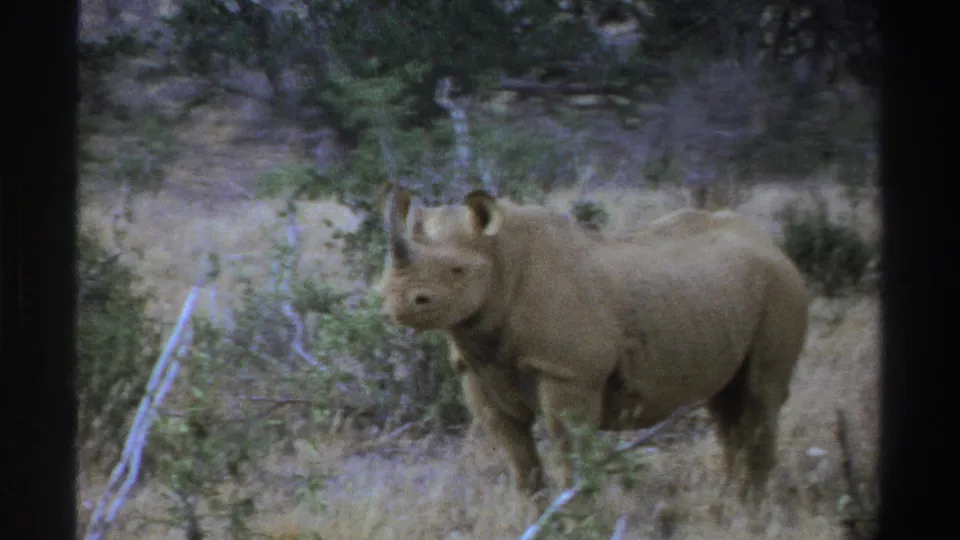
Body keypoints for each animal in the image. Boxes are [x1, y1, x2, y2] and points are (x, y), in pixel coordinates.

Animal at [376, 186, 810, 506]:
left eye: (458, 270)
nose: (400, 301)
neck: (500, 258)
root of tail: (770, 243)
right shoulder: (479, 370)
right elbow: (520, 461)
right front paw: (534, 515)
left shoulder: (569, 372)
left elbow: (569, 451)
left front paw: (576, 516)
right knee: (726, 405)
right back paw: (728, 503)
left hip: (782, 287)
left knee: (761, 395)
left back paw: (749, 510)